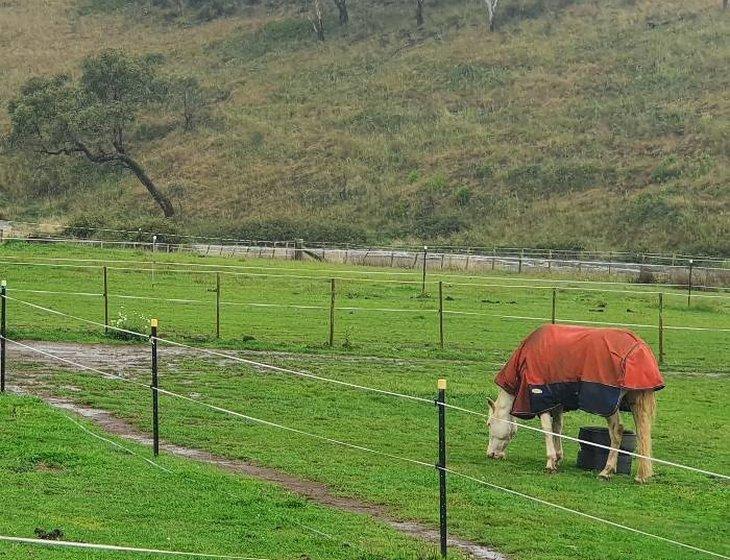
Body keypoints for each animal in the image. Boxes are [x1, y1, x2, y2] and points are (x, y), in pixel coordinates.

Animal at [486, 326, 664, 484]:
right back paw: (639, 475)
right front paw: (558, 457)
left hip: (609, 405)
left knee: (617, 431)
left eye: (489, 424)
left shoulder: (542, 401)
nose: (490, 454)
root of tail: (639, 349)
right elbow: (557, 428)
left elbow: (547, 430)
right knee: (642, 433)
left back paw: (606, 471)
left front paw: (550, 462)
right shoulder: (558, 402)